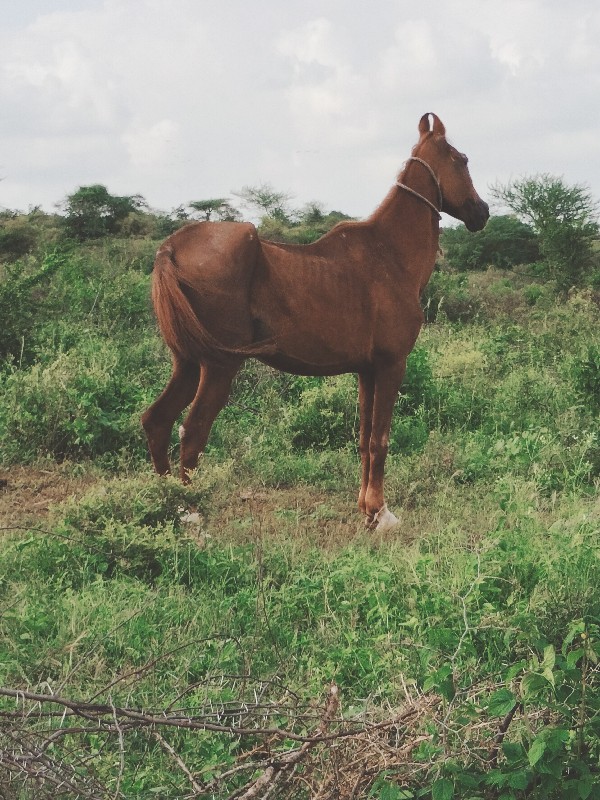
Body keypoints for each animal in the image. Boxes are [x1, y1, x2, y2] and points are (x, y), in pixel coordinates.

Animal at [143, 109, 490, 528]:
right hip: (218, 366)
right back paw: (192, 512)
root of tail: (170, 247)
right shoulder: (392, 365)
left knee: (157, 420)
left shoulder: (366, 370)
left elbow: (364, 439)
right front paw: (382, 512)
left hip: (188, 362)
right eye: (462, 159)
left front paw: (366, 508)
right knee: (192, 431)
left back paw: (170, 504)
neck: (389, 254)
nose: (482, 212)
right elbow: (381, 439)